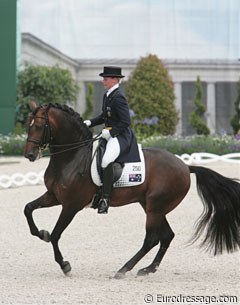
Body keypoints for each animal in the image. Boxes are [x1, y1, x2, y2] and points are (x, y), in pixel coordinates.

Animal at [23, 101, 240, 276]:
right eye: (28, 125)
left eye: (40, 126)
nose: (29, 155)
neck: (72, 157)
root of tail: (186, 166)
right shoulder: (53, 196)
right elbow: (28, 209)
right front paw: (41, 233)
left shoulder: (71, 205)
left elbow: (56, 235)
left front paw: (65, 265)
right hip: (153, 207)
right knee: (166, 236)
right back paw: (148, 269)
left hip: (155, 208)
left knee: (151, 239)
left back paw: (124, 269)